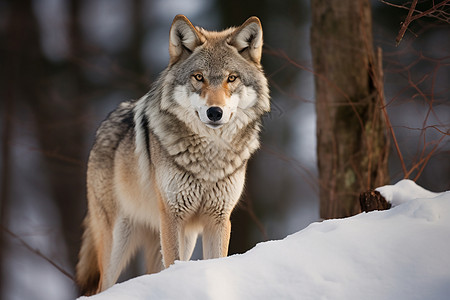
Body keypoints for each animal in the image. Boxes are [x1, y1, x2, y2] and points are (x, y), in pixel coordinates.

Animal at [76, 14, 270, 296]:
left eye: (231, 78)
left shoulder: (219, 219)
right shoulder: (171, 215)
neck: (209, 159)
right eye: (198, 77)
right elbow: (172, 261)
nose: (215, 112)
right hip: (117, 241)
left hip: (183, 236)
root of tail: (102, 127)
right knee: (104, 285)